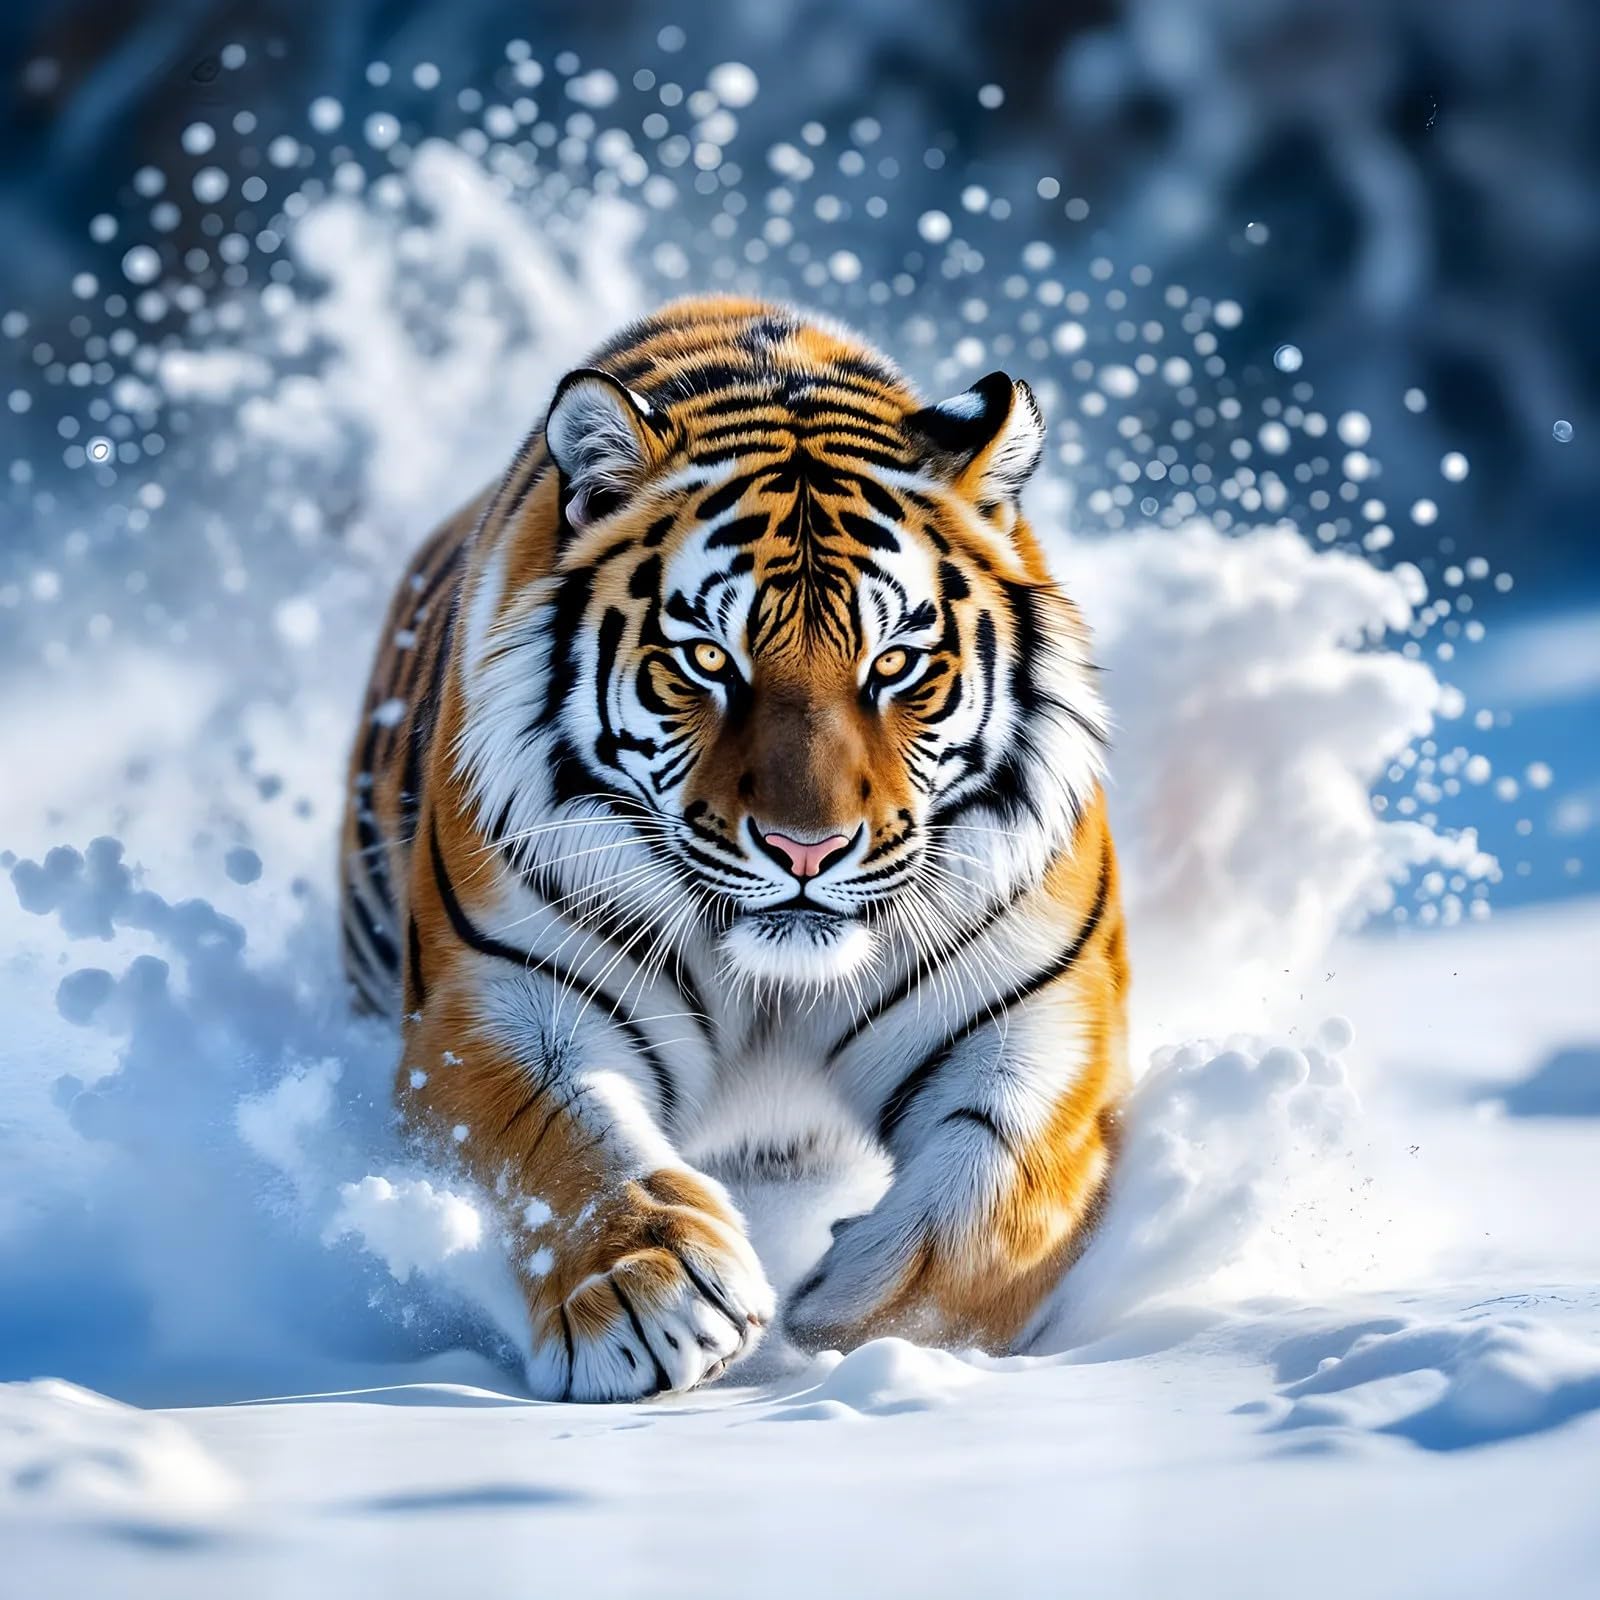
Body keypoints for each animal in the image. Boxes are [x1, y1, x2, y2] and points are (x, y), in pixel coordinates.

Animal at [340, 295, 1128, 1401]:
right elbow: (558, 1139)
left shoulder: (1043, 1007)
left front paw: (859, 1319)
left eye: (895, 664)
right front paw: (647, 1293)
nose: (808, 848)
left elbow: (1003, 1192)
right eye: (709, 660)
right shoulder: (494, 1001)